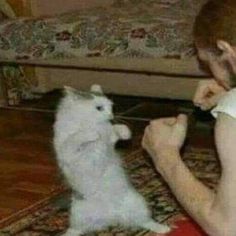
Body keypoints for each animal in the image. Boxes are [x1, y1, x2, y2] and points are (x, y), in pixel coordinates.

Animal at [54, 85, 171, 236]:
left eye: (111, 107)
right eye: (99, 108)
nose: (111, 116)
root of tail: (110, 216)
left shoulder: (110, 141)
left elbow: (116, 131)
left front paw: (124, 132)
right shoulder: (66, 150)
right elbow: (76, 137)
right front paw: (92, 134)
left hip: (137, 204)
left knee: (145, 221)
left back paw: (163, 228)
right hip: (77, 215)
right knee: (75, 230)